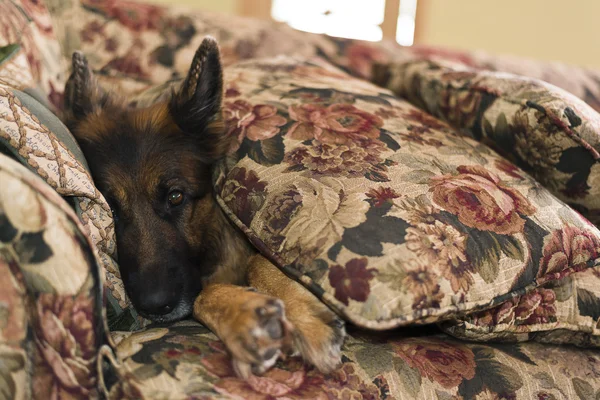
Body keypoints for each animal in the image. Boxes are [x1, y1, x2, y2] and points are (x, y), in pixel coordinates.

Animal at [62, 38, 344, 378]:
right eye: (111, 211)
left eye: (175, 197)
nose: (154, 305)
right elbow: (199, 297)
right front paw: (244, 317)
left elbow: (256, 261)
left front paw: (305, 317)